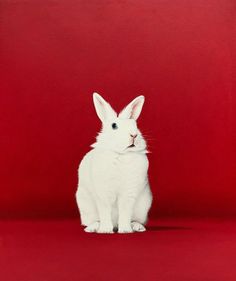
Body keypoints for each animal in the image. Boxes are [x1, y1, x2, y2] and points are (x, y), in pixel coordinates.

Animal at [76, 92, 153, 232]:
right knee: (94, 220)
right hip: (86, 209)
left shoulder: (128, 193)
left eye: (135, 126)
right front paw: (106, 230)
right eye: (114, 126)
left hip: (143, 209)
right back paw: (93, 228)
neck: (121, 154)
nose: (134, 135)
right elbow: (105, 211)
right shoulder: (103, 192)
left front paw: (125, 230)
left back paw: (137, 227)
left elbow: (125, 211)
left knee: (136, 219)